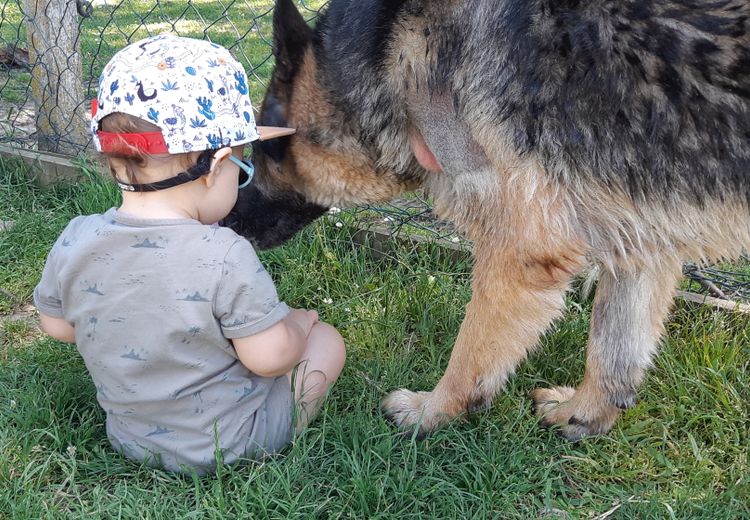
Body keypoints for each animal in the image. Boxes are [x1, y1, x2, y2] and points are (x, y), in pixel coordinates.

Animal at [228, 0, 750, 438]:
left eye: (260, 151)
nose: (229, 219)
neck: (391, 55)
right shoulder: (640, 244)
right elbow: (613, 351)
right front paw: (582, 416)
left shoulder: (519, 250)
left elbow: (469, 356)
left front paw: (430, 413)